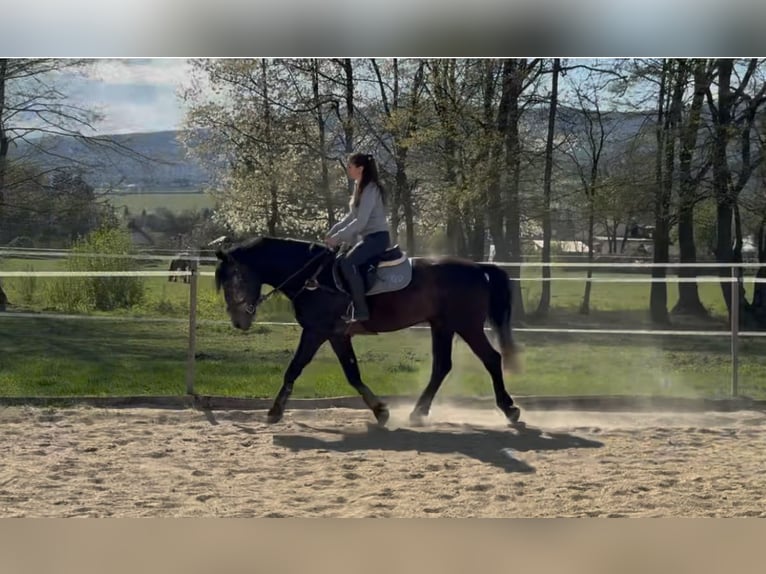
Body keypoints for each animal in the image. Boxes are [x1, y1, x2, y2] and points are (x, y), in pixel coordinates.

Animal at [214, 236, 523, 427]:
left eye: (233, 280)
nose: (239, 322)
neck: (314, 278)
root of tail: (477, 267)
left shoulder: (316, 331)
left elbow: (294, 369)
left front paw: (274, 412)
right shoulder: (337, 335)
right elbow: (352, 374)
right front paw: (380, 411)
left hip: (466, 326)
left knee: (491, 359)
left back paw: (509, 408)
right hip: (443, 326)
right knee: (442, 367)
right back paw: (418, 412)